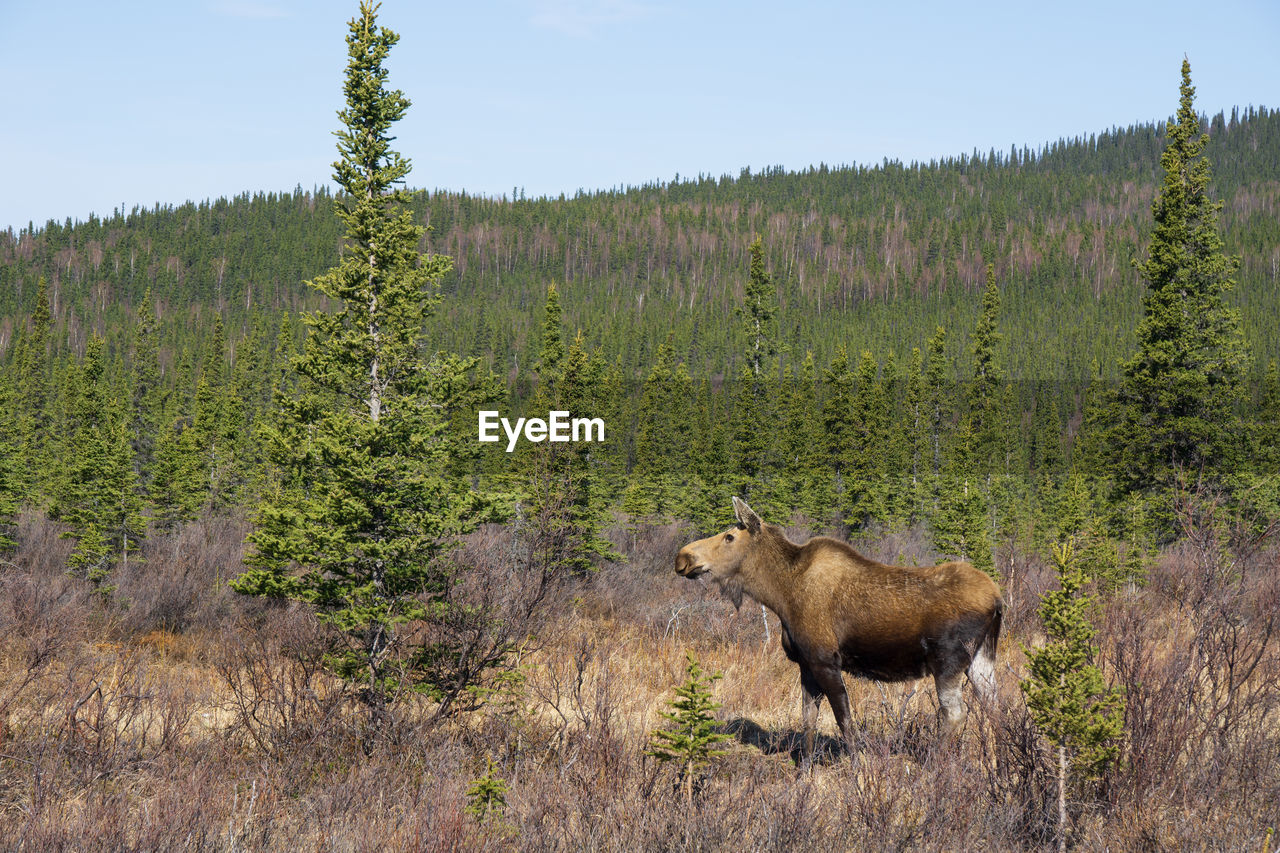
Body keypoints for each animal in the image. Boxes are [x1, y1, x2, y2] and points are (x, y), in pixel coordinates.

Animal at [675, 494, 1003, 753]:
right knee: (995, 707)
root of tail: (998, 600)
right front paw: (804, 774)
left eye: (729, 537)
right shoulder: (806, 663)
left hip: (947, 660)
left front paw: (858, 773)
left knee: (955, 714)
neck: (781, 594)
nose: (682, 557)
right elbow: (808, 724)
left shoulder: (825, 660)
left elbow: (845, 724)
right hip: (981, 658)